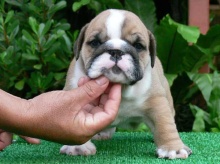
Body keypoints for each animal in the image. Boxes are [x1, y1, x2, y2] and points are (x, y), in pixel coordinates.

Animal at [59, 8, 191, 159]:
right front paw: (77, 147)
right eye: (95, 43)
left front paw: (173, 149)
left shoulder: (157, 102)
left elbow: (165, 124)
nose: (116, 51)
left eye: (138, 46)